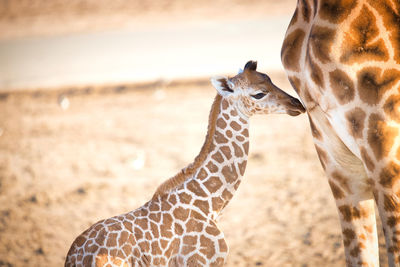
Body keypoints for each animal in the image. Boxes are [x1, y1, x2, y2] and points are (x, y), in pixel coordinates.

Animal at [65, 61, 304, 266]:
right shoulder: (203, 262)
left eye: (270, 79)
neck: (210, 204)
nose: (298, 104)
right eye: (258, 94)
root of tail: (77, 258)